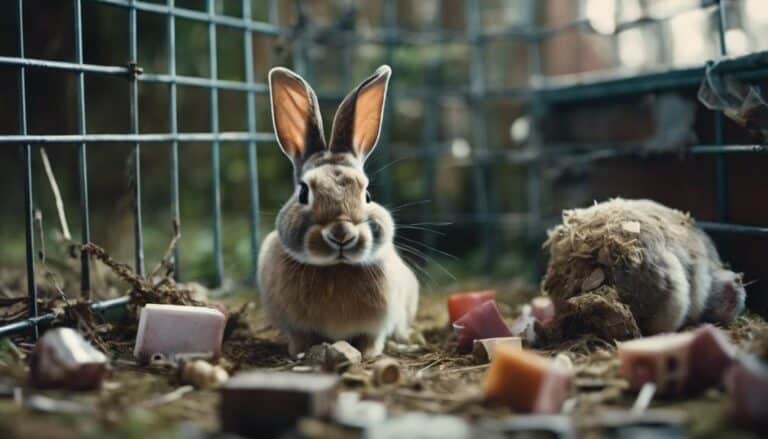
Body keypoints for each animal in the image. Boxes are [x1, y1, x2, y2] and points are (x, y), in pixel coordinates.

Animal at [257, 65, 419, 358]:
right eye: (303, 192)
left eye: (367, 195)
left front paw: (368, 355)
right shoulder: (296, 329)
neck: (335, 268)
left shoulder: (376, 327)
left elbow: (371, 341)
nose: (342, 233)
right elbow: (301, 341)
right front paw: (300, 354)